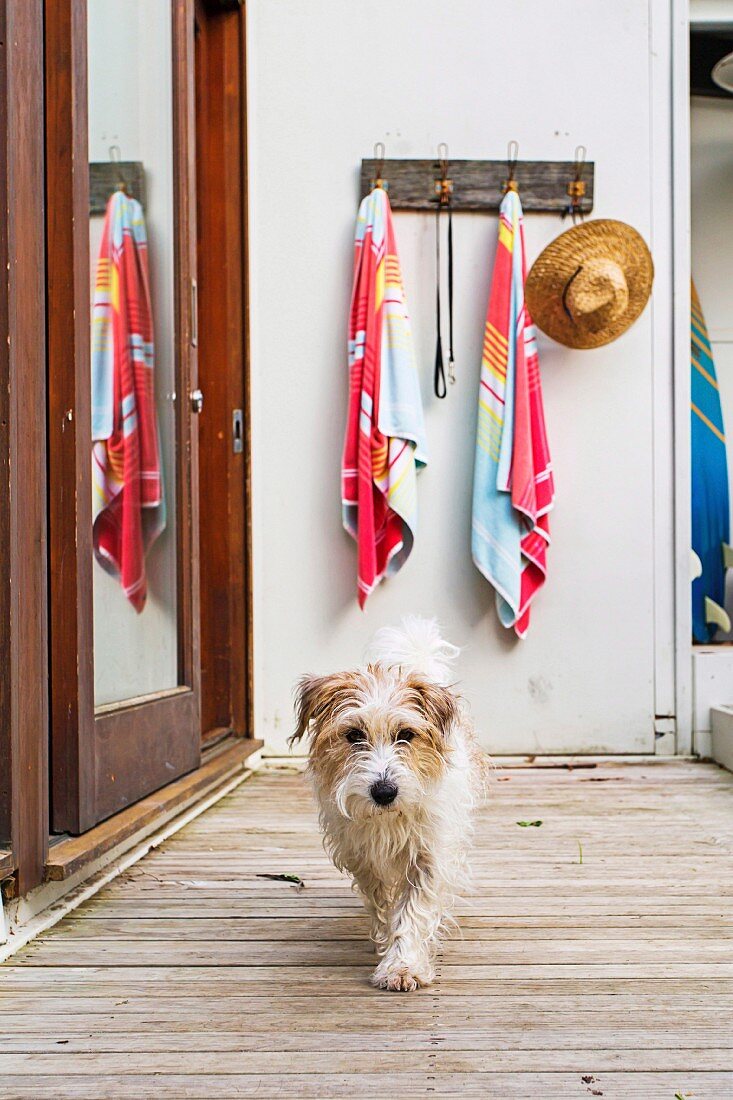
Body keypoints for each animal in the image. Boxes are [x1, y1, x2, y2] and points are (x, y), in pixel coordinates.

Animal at [288, 620, 488, 998]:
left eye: (406, 734)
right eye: (354, 735)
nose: (384, 791)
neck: (389, 819)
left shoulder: (429, 854)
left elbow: (413, 911)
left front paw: (403, 964)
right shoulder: (363, 856)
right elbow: (381, 903)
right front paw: (386, 943)